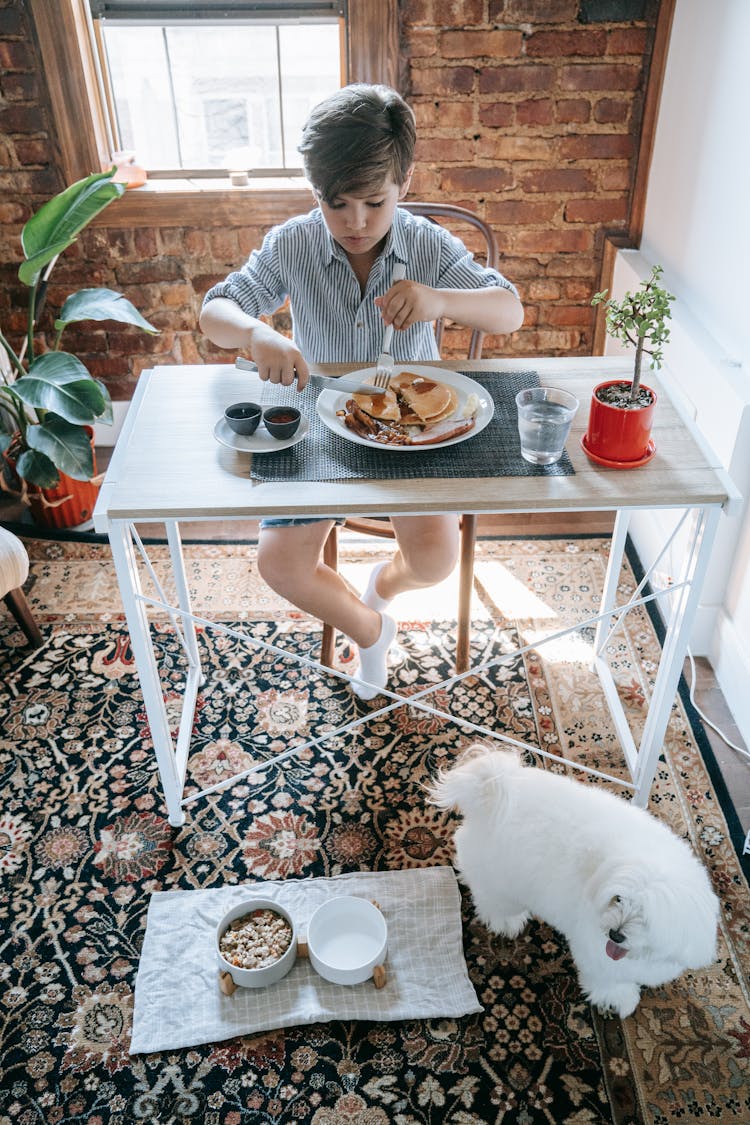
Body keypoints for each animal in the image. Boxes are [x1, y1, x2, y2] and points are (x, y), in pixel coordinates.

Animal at [427, 747, 719, 1021]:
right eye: (618, 899)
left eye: (645, 917)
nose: (615, 934)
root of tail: (493, 787)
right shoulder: (596, 955)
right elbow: (608, 981)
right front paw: (620, 999)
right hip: (501, 878)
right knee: (491, 899)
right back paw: (506, 921)